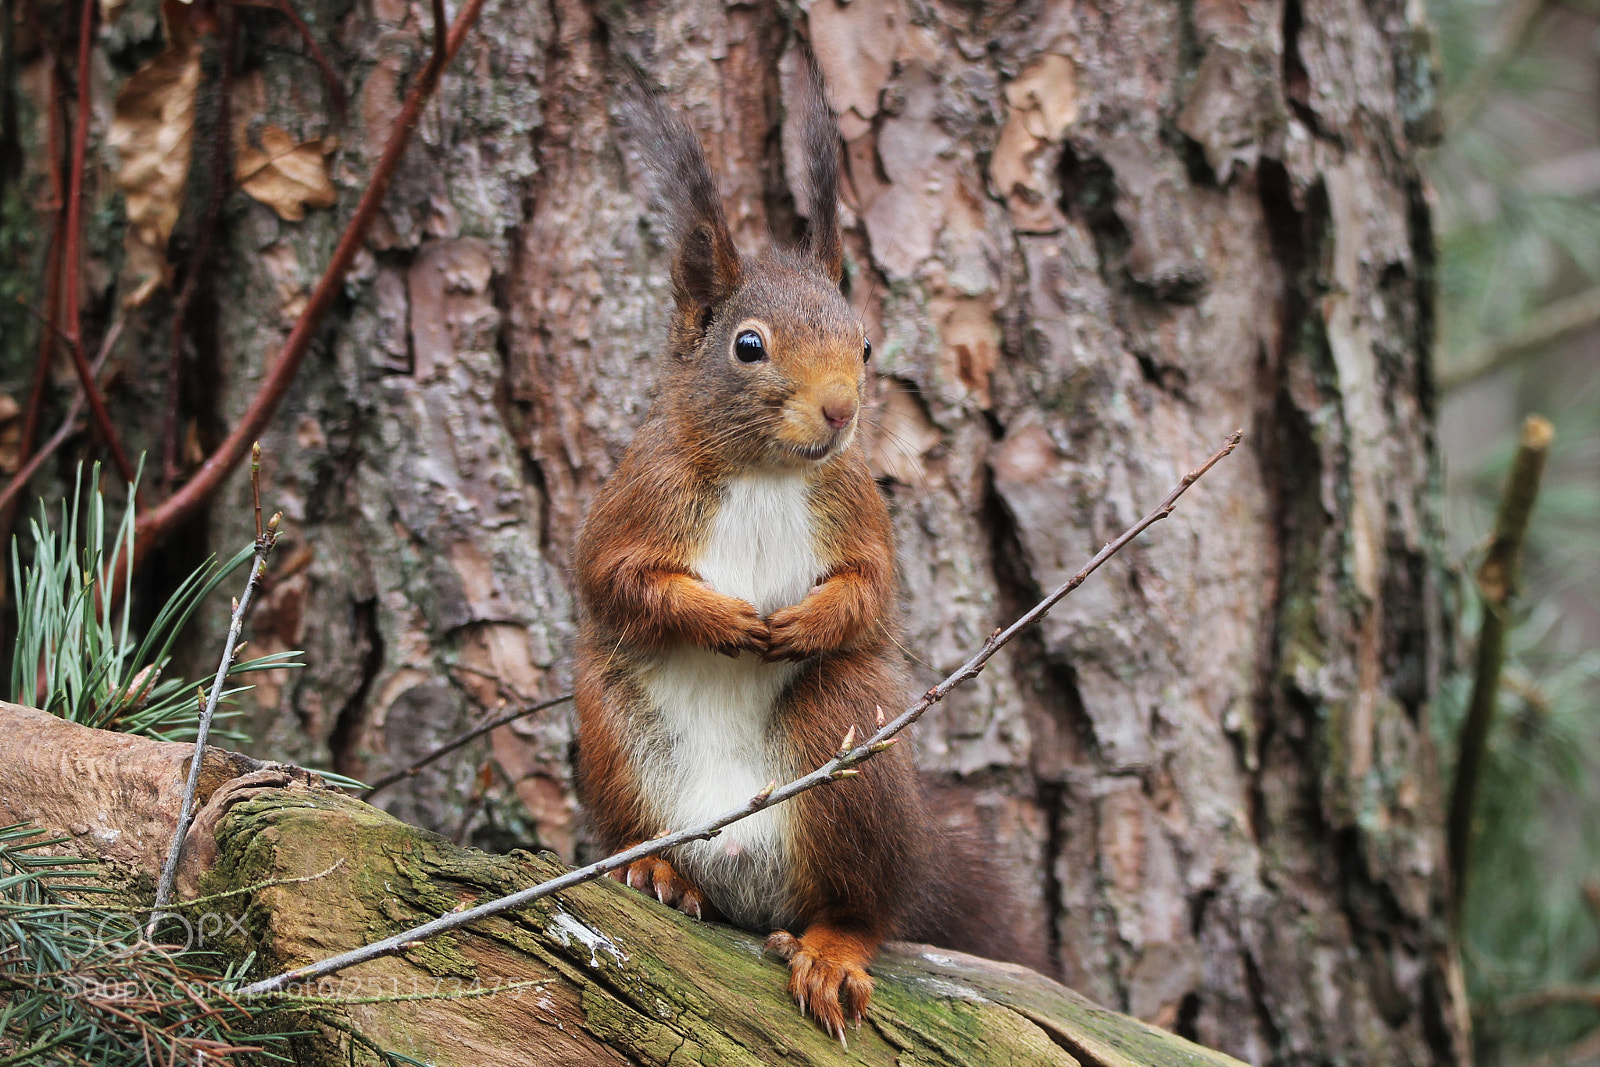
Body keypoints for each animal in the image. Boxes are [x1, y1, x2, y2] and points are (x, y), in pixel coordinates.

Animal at [571, 60, 1033, 1041]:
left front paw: (803, 622)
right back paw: (655, 870)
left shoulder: (857, 507)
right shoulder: (639, 497)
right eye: (748, 345)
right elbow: (616, 578)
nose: (841, 411)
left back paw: (831, 951)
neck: (767, 470)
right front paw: (720, 617)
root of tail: (745, 877)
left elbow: (870, 590)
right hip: (615, 736)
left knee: (865, 911)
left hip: (849, 747)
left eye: (865, 341)